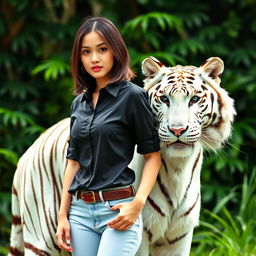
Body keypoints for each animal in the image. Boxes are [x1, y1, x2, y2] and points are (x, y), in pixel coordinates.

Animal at [9, 57, 235, 255]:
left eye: (194, 99)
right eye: (164, 99)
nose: (177, 130)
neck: (178, 167)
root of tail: (28, 153)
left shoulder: (179, 237)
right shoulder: (140, 237)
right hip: (41, 240)